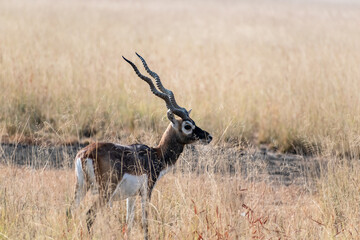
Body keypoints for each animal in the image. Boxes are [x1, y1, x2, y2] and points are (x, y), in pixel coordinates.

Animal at [68, 52, 211, 238]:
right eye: (187, 126)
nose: (208, 136)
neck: (156, 154)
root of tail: (85, 154)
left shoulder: (131, 196)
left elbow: (128, 223)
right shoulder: (146, 191)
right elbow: (145, 221)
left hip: (81, 187)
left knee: (70, 212)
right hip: (104, 192)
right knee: (89, 215)